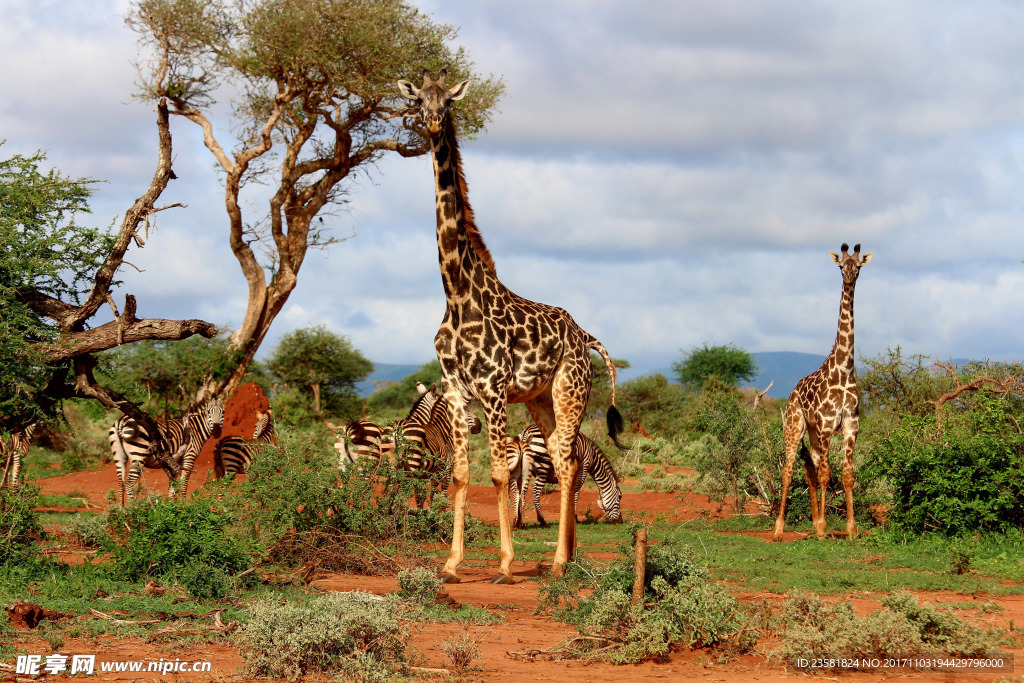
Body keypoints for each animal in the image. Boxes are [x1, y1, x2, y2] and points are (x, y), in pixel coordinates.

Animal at [397, 69, 622, 585]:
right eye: (418, 100)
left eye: (448, 101)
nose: (432, 124)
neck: (457, 294)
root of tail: (586, 337)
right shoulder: (456, 390)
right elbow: (461, 473)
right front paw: (451, 564)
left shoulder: (494, 388)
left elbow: (499, 473)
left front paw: (503, 564)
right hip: (540, 399)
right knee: (566, 458)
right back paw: (568, 557)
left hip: (569, 391)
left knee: (566, 462)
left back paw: (558, 561)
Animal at [774, 242, 872, 540]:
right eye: (841, 266)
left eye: (858, 265)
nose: (850, 277)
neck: (844, 370)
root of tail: (793, 392)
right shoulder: (828, 426)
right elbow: (828, 474)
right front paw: (824, 528)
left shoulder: (851, 426)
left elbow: (847, 475)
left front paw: (850, 529)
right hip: (794, 427)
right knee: (789, 470)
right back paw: (779, 528)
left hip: (813, 433)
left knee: (810, 469)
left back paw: (815, 521)